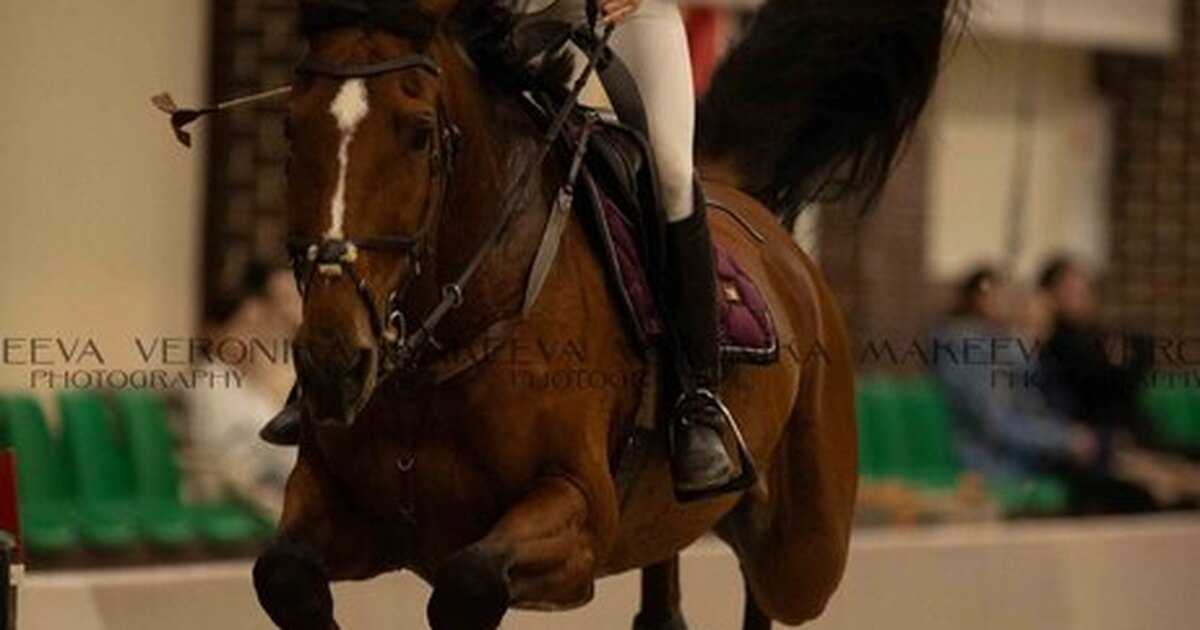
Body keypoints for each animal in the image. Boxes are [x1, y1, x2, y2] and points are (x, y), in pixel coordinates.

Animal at [251, 0, 959, 627]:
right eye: (289, 126)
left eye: (420, 132)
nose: (333, 363)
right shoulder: (337, 501)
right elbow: (282, 575)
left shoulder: (579, 510)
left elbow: (470, 582)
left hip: (803, 549)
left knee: (772, 587)